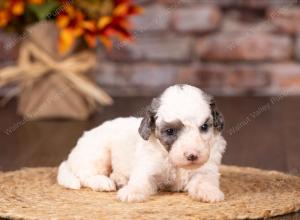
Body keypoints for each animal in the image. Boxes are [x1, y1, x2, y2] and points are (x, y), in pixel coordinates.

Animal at [56, 84, 226, 203]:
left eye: (204, 127)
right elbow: (140, 180)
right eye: (170, 131)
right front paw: (131, 192)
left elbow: (205, 180)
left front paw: (209, 192)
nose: (192, 156)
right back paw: (102, 181)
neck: (172, 160)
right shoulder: (147, 166)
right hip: (98, 153)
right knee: (85, 174)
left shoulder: (207, 169)